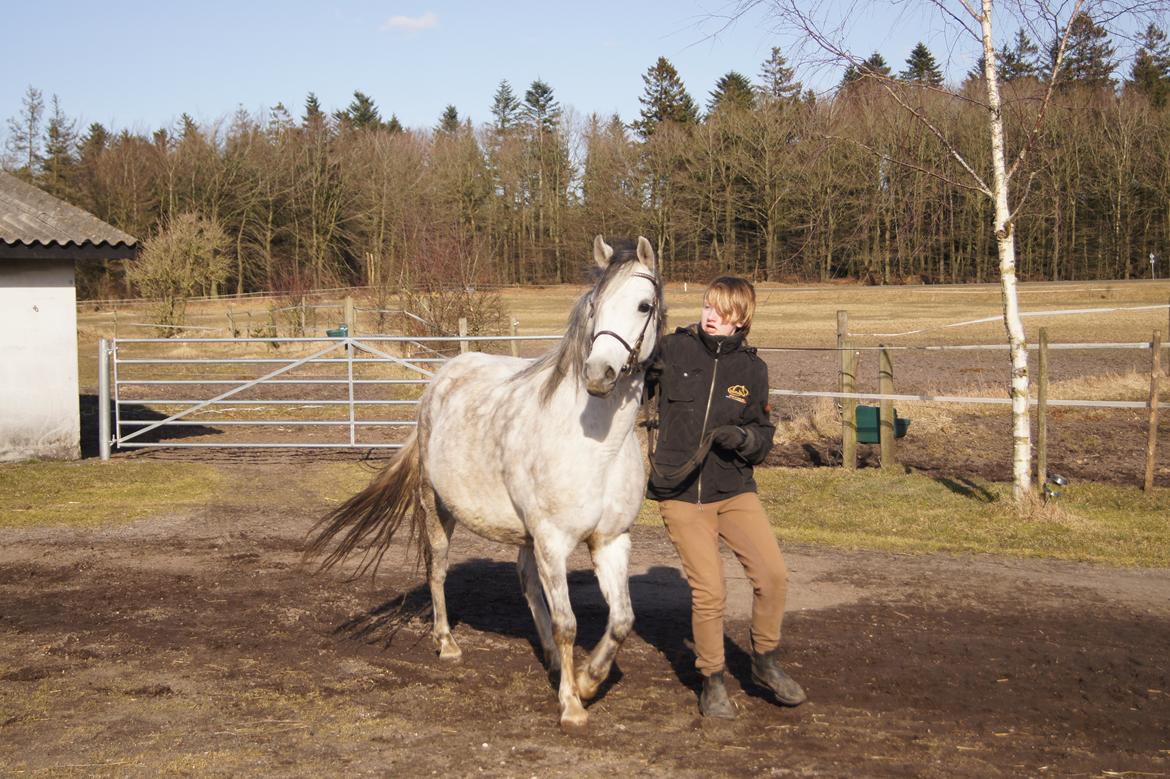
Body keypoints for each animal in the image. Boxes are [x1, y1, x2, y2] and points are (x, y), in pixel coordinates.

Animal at [306, 235, 664, 731]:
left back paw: (552, 661)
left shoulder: (611, 540)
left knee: (528, 584)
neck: (597, 445)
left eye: (644, 304)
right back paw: (447, 644)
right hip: (437, 510)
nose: (599, 374)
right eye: (594, 305)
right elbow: (567, 623)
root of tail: (441, 379)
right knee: (437, 571)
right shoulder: (553, 540)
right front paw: (572, 705)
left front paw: (588, 680)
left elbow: (622, 620)